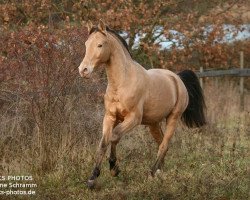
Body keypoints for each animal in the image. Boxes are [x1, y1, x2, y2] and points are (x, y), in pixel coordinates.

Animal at [77, 20, 205, 189]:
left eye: (100, 45)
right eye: (86, 44)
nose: (83, 70)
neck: (122, 83)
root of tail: (176, 78)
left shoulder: (133, 119)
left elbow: (115, 136)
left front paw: (114, 169)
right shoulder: (110, 117)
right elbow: (103, 142)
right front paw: (92, 178)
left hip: (173, 118)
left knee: (164, 145)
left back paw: (151, 172)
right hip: (153, 123)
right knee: (161, 143)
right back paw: (159, 171)